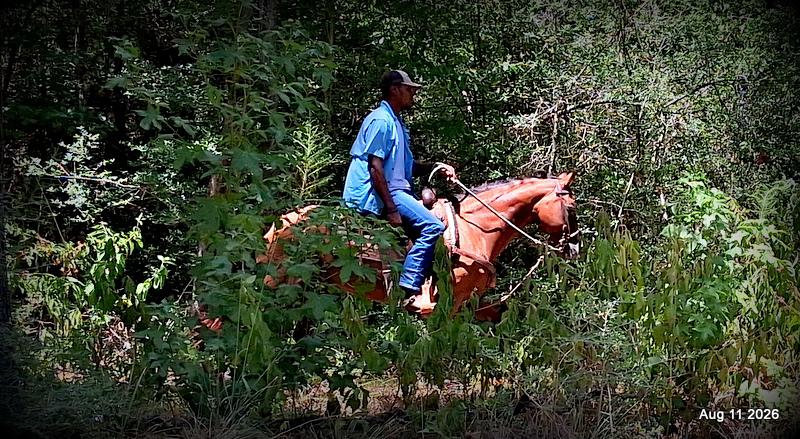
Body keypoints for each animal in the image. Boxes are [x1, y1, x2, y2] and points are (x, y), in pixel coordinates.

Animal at [254, 172, 579, 321]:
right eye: (572, 207)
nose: (574, 248)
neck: (475, 229)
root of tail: (281, 222)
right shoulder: (449, 302)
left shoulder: (472, 303)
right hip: (279, 281)